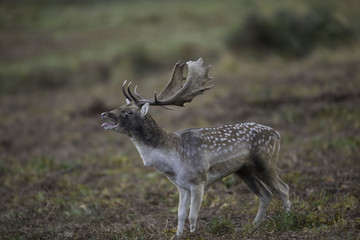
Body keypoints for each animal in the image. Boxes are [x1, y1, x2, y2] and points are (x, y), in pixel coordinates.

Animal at [100, 57, 290, 236]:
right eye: (121, 106)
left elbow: (193, 215)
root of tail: (276, 133)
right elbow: (180, 214)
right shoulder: (182, 185)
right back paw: (253, 227)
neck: (172, 161)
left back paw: (289, 219)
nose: (104, 113)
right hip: (244, 170)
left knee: (283, 188)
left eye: (128, 112)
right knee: (266, 194)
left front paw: (194, 234)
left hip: (266, 161)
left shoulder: (199, 180)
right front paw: (178, 235)